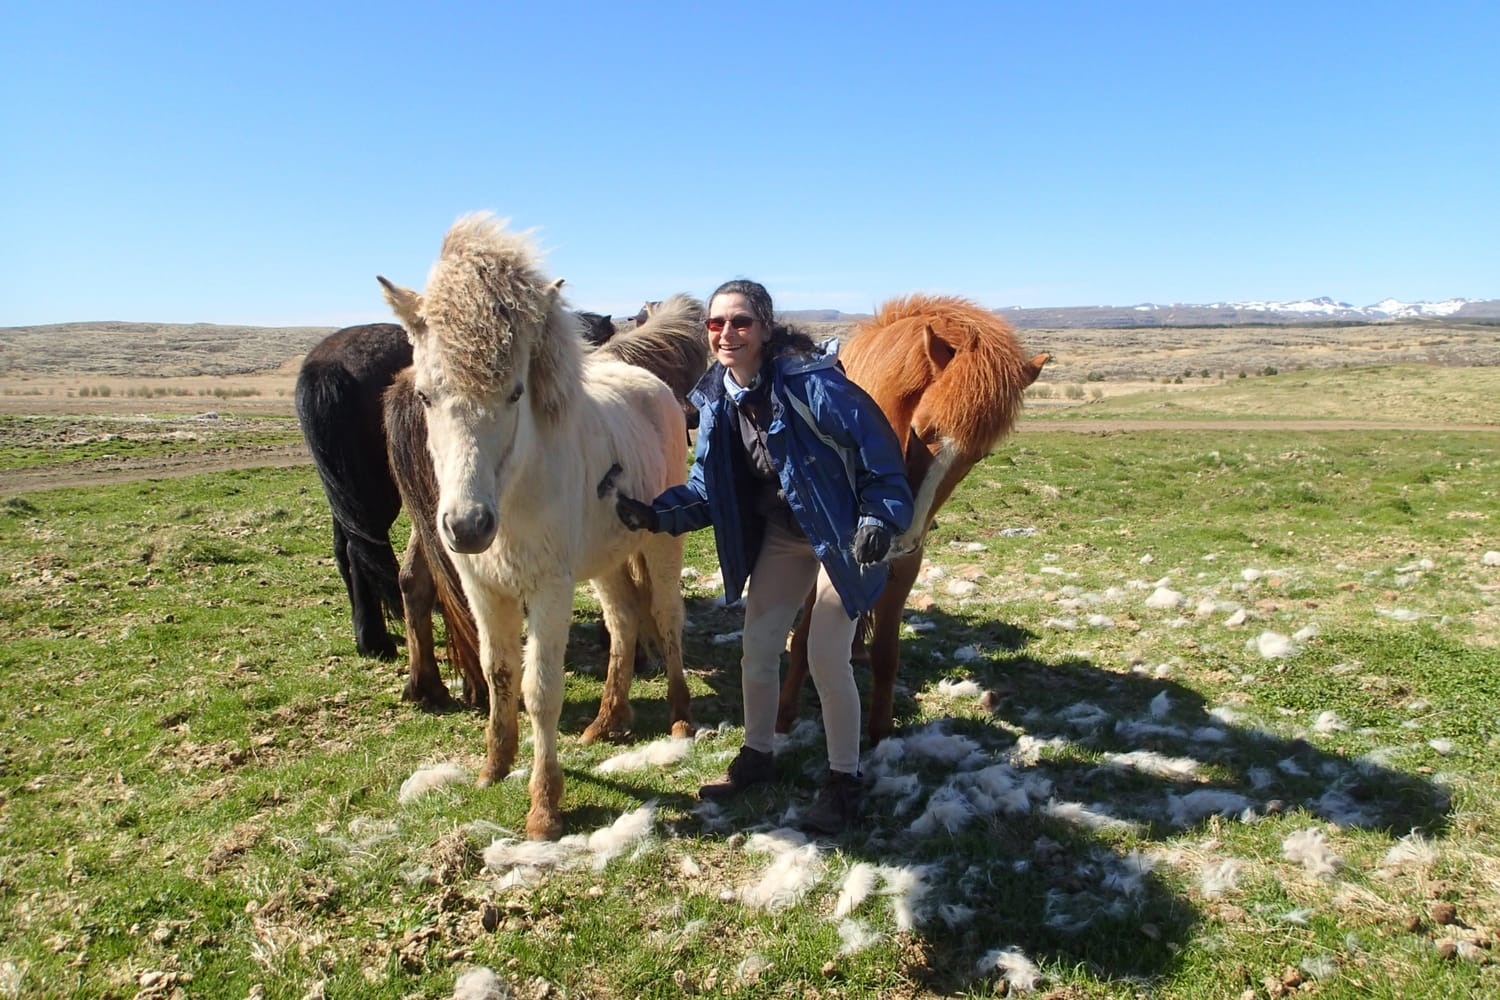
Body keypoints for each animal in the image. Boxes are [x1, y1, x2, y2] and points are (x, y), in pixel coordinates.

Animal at [775, 294, 1049, 745]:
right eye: (923, 429)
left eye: (979, 455)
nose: (900, 537)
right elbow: (801, 640)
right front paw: (783, 719)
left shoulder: (905, 567)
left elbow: (888, 652)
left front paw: (881, 734)